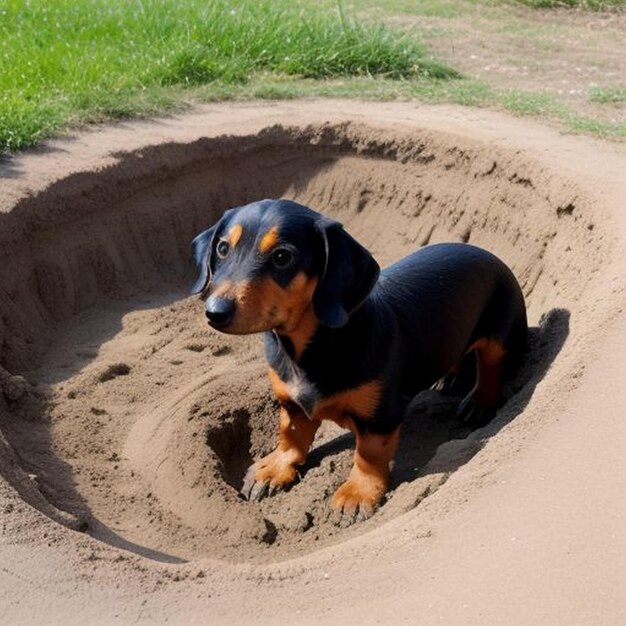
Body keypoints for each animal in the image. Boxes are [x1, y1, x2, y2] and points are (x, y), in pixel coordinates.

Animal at [191, 199, 528, 516]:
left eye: (282, 257)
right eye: (222, 249)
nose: (215, 312)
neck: (307, 348)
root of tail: (482, 251)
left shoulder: (380, 417)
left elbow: (368, 454)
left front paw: (357, 493)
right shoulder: (291, 404)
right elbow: (291, 436)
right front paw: (275, 468)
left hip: (501, 332)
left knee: (491, 364)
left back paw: (480, 401)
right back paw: (452, 376)